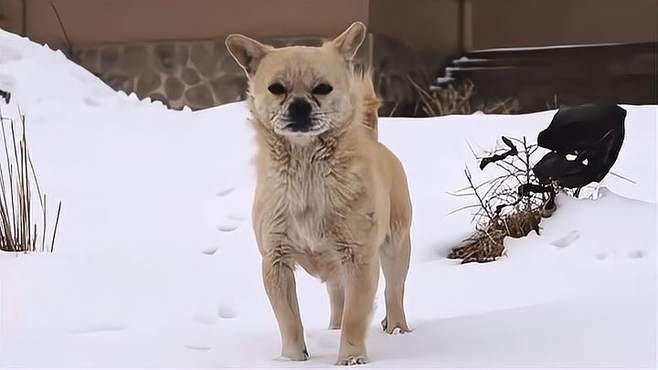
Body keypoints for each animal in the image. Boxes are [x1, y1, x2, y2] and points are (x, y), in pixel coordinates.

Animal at [227, 21, 410, 366]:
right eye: (277, 88)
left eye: (323, 88)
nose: (299, 105)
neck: (305, 171)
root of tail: (373, 139)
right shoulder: (275, 262)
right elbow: (289, 319)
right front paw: (292, 359)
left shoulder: (359, 260)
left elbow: (356, 315)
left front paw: (351, 358)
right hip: (337, 268)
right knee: (338, 299)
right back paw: (333, 330)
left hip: (395, 248)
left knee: (393, 293)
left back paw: (397, 330)